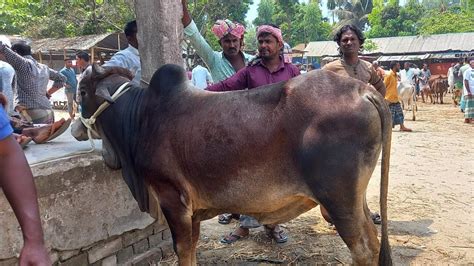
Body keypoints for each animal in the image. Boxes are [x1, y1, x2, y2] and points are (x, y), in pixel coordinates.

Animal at [73, 64, 392, 266]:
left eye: (81, 91)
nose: (75, 128)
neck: (140, 119)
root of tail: (363, 90)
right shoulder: (192, 210)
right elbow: (192, 248)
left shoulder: (171, 198)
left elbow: (182, 249)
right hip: (356, 199)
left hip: (339, 201)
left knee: (364, 249)